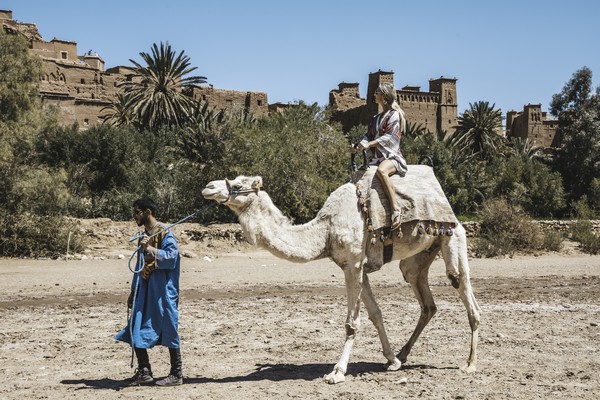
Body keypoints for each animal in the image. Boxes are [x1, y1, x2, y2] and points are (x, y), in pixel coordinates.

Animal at [203, 166, 482, 384]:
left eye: (237, 184)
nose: (208, 187)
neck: (325, 230)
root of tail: (452, 212)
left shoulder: (353, 264)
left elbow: (351, 323)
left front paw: (337, 372)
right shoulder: (357, 268)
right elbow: (376, 314)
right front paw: (391, 360)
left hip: (453, 236)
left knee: (465, 292)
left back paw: (469, 364)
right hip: (418, 257)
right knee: (426, 300)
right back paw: (404, 355)